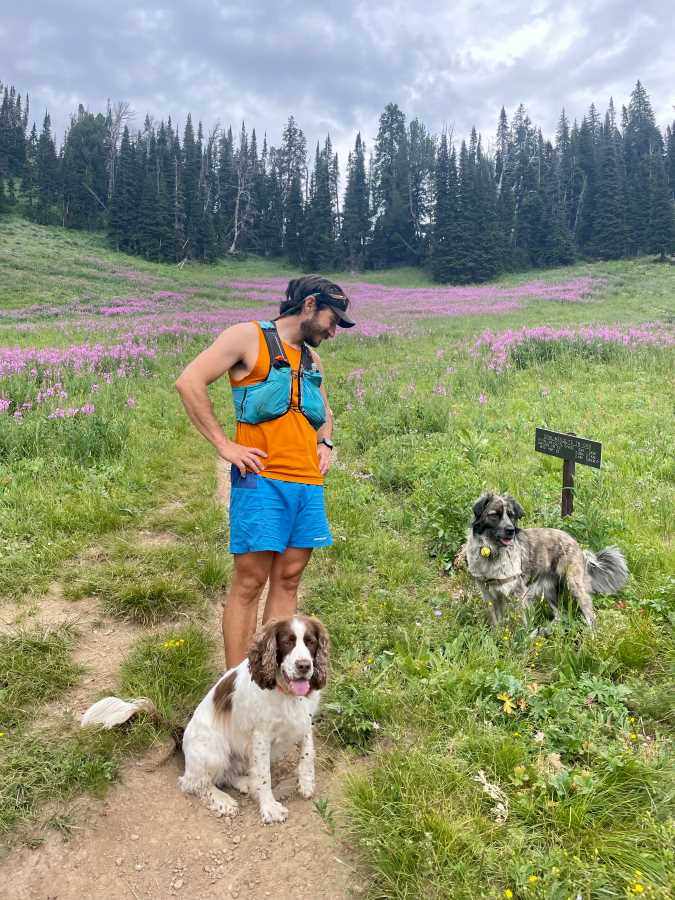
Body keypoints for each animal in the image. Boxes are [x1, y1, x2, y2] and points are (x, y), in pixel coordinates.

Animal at [464, 492, 628, 624]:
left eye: (511, 516)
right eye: (494, 515)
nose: (510, 530)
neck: (492, 551)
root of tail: (576, 543)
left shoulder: (518, 593)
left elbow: (519, 625)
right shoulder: (490, 596)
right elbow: (496, 623)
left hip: (574, 584)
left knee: (589, 613)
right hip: (548, 590)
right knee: (560, 614)